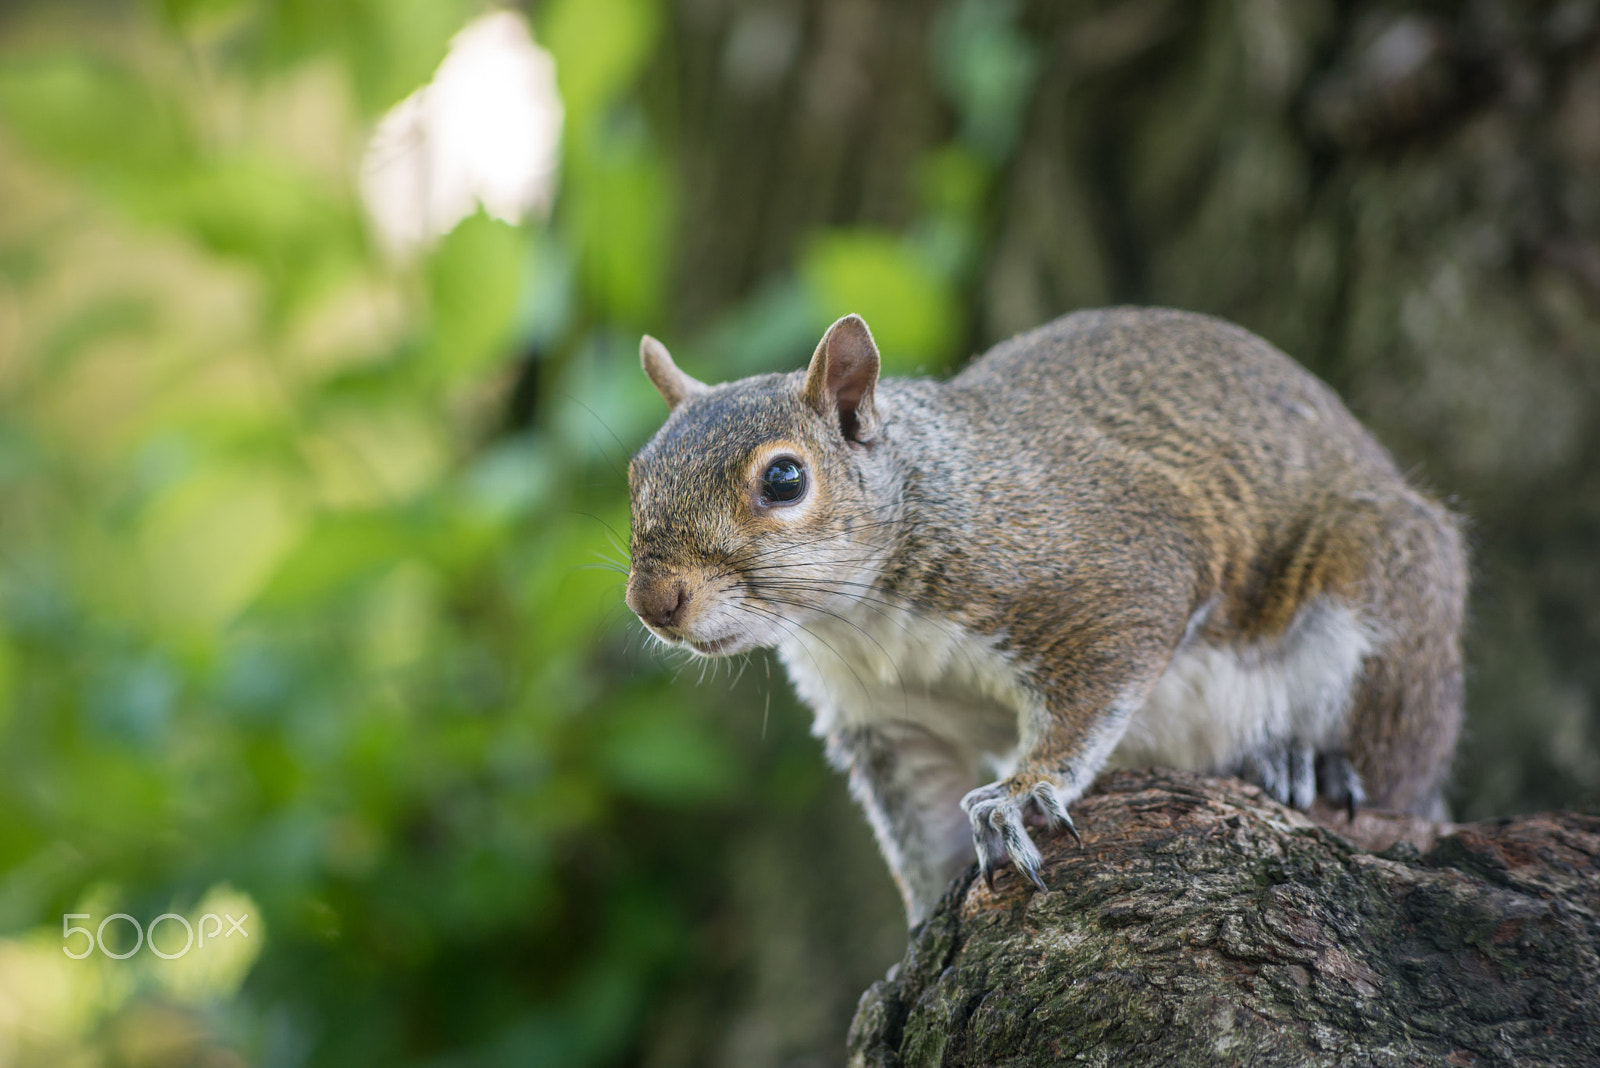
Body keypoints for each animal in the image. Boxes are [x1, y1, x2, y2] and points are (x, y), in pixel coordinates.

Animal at [624, 307, 1466, 926]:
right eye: (636, 474)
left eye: (785, 479)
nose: (653, 602)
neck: (865, 621)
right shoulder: (888, 722)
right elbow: (921, 833)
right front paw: (918, 932)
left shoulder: (1111, 577)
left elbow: (1096, 686)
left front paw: (1020, 795)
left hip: (1382, 601)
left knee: (1396, 767)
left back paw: (1306, 762)